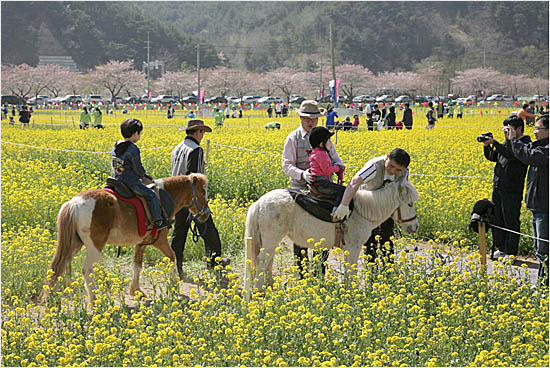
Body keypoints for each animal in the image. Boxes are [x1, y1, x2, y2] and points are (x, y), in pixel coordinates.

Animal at [32, 174, 210, 306]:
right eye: (202, 193)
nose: (206, 214)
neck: (162, 198)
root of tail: (74, 203)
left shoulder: (141, 244)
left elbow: (137, 265)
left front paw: (136, 291)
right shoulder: (160, 241)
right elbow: (173, 256)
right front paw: (173, 285)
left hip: (73, 244)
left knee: (57, 267)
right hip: (95, 246)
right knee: (87, 270)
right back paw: (95, 300)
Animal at [244, 180, 420, 292]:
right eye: (410, 204)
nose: (415, 227)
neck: (361, 211)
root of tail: (260, 202)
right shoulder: (353, 247)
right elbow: (351, 271)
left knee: (267, 263)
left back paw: (270, 288)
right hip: (271, 241)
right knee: (262, 262)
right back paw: (260, 292)